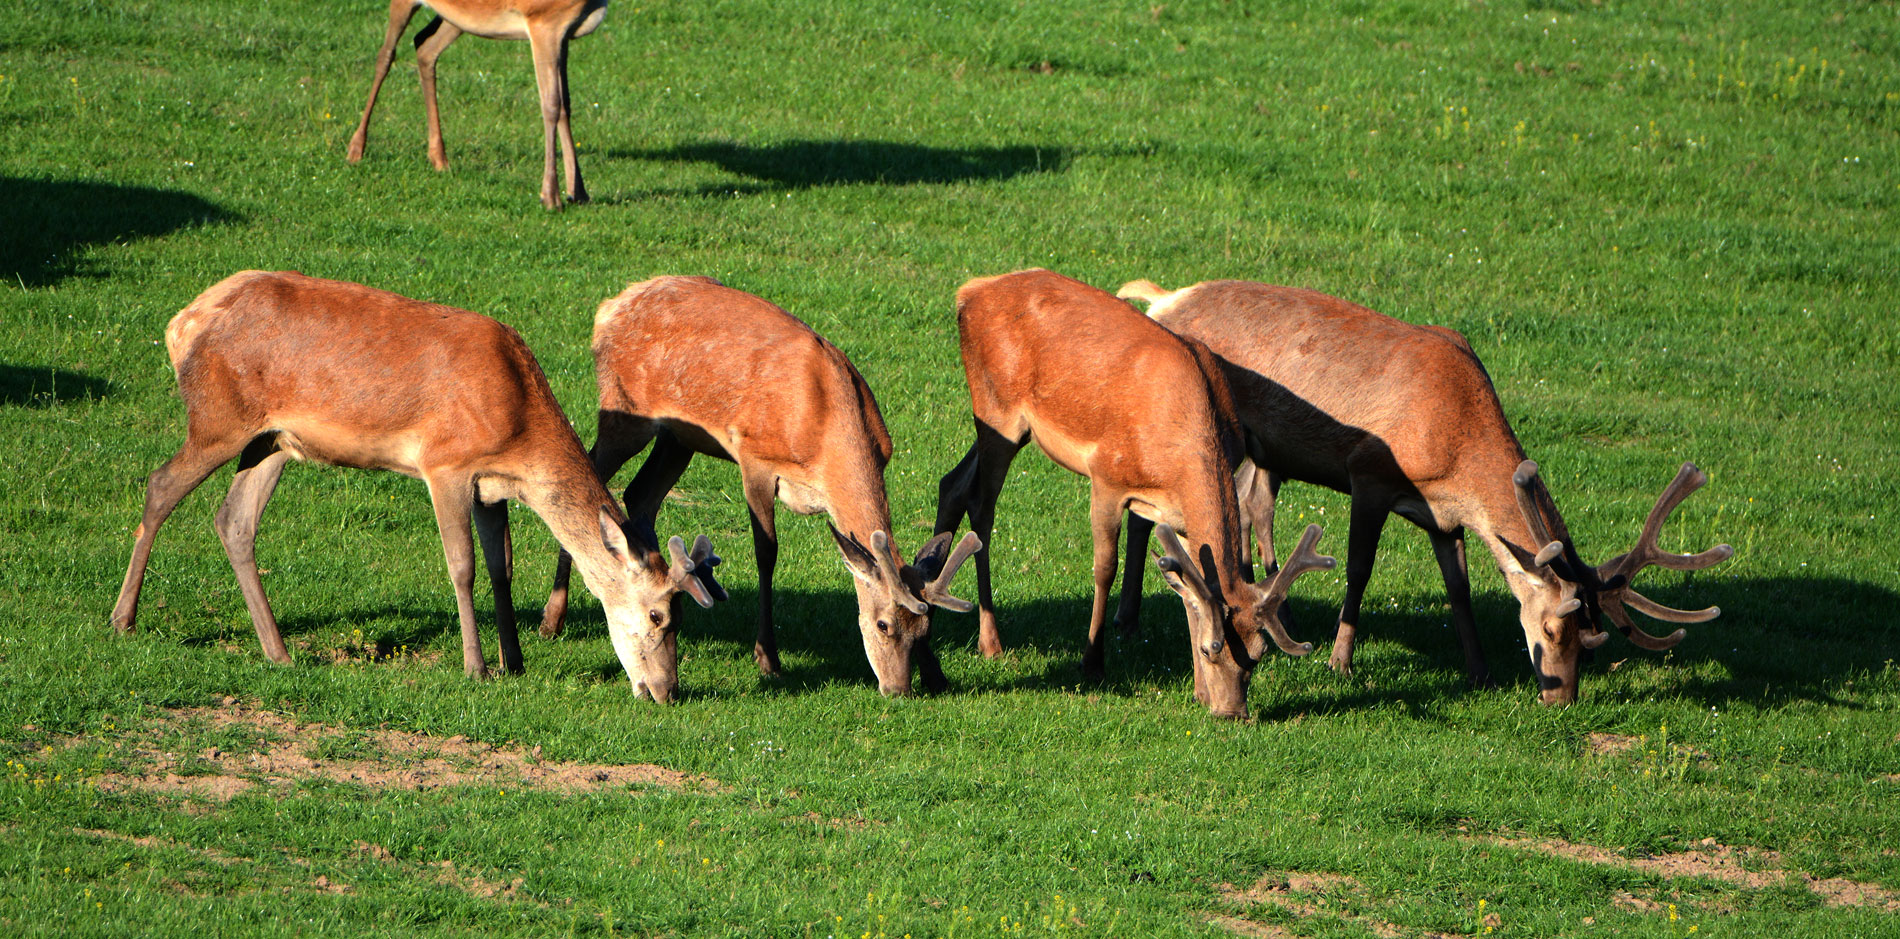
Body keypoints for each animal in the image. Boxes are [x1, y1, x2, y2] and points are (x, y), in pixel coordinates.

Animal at [109, 268, 718, 699]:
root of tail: (180, 324)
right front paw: (476, 668)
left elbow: (502, 566)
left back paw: (278, 651)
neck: (518, 427)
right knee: (159, 485)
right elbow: (463, 565)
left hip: (271, 440)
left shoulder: (490, 485)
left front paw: (514, 661)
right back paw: (123, 620)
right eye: (660, 614)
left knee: (233, 519)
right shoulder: (444, 463)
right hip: (218, 418)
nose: (666, 691)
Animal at [343, 0, 608, 206]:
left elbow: (566, 104)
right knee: (386, 55)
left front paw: (579, 192)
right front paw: (551, 197)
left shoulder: (564, 33)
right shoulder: (543, 21)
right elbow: (551, 105)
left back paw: (439, 159)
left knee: (424, 45)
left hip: (457, 19)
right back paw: (356, 149)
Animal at [535, 275, 980, 691]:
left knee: (640, 494)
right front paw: (768, 657)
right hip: (624, 408)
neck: (823, 434)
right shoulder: (755, 458)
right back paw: (552, 620)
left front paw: (937, 674)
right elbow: (767, 552)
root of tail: (609, 308)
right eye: (882, 624)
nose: (897, 688)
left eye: (925, 630)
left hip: (679, 437)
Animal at [927, 269, 1330, 718]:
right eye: (1212, 650)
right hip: (996, 408)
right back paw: (990, 641)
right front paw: (1092, 662)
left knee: (952, 482)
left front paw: (1198, 691)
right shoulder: (1106, 476)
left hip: (1009, 428)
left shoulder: (1177, 513)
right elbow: (1105, 568)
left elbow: (1190, 593)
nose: (1232, 712)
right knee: (983, 507)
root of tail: (970, 292)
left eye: (1258, 654)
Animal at [1109, 279, 1740, 703]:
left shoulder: (1445, 518)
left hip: (1256, 449)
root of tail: (1164, 299)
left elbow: (1459, 589)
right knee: (1151, 509)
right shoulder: (1368, 473)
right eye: (1552, 628)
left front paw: (1480, 670)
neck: (1453, 449)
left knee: (1241, 505)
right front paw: (1339, 662)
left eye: (1594, 637)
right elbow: (1358, 570)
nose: (1560, 696)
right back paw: (1128, 618)